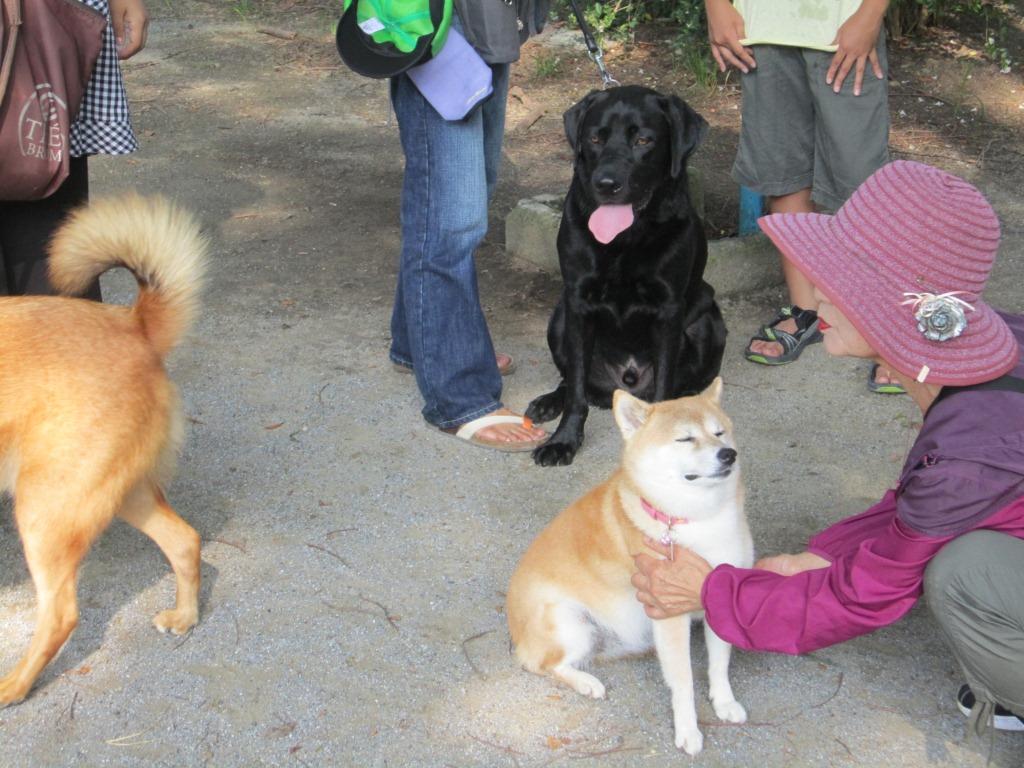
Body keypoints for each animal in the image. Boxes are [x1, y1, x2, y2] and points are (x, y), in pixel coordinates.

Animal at [0, 194, 207, 707]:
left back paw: (15, 685)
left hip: (45, 512)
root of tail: (134, 326)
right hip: (116, 492)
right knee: (185, 540)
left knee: (61, 616)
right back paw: (185, 617)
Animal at [508, 379, 752, 755]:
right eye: (685, 438)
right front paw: (688, 729)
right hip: (570, 623)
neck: (699, 518)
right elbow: (683, 680)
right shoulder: (669, 615)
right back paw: (586, 682)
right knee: (542, 664)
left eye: (719, 432)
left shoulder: (718, 597)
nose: (728, 454)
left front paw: (724, 702)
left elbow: (719, 663)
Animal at [527, 85, 727, 466]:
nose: (606, 183)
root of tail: (626, 381)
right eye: (594, 138)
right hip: (558, 319)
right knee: (570, 380)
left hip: (708, 320)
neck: (625, 240)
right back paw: (548, 401)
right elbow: (576, 390)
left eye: (644, 140)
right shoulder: (577, 303)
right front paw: (564, 439)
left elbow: (664, 386)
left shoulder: (669, 310)